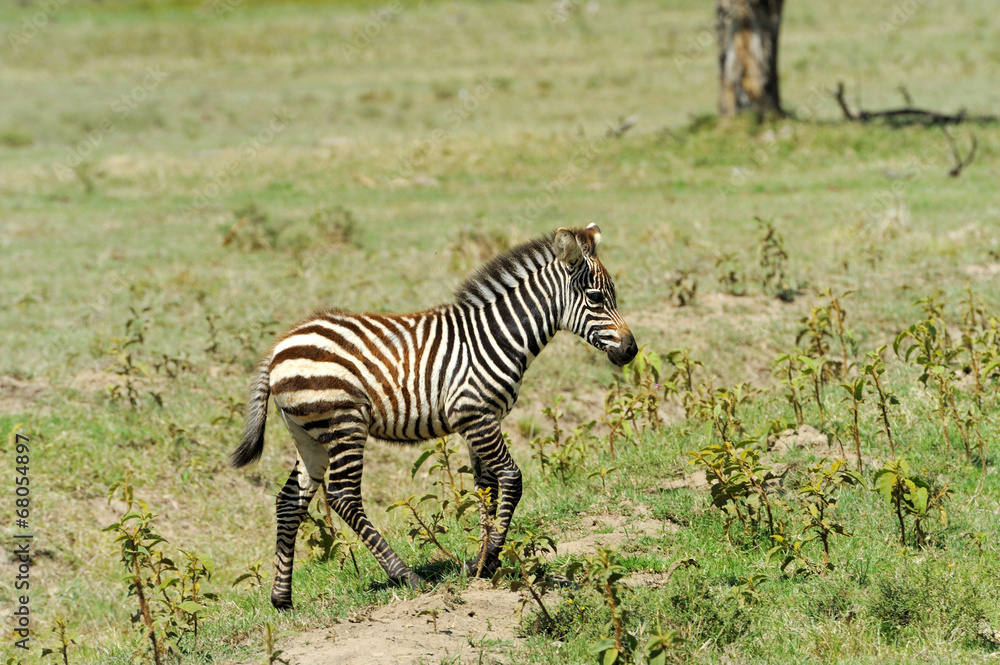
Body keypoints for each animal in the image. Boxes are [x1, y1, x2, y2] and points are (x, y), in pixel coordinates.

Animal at [230, 223, 636, 608]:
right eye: (596, 298)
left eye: (614, 294)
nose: (631, 351)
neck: (498, 337)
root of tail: (279, 348)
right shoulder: (476, 415)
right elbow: (511, 478)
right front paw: (490, 558)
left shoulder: (481, 420)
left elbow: (486, 488)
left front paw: (482, 562)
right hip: (344, 424)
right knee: (343, 496)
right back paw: (405, 575)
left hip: (309, 436)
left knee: (289, 502)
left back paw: (282, 598)